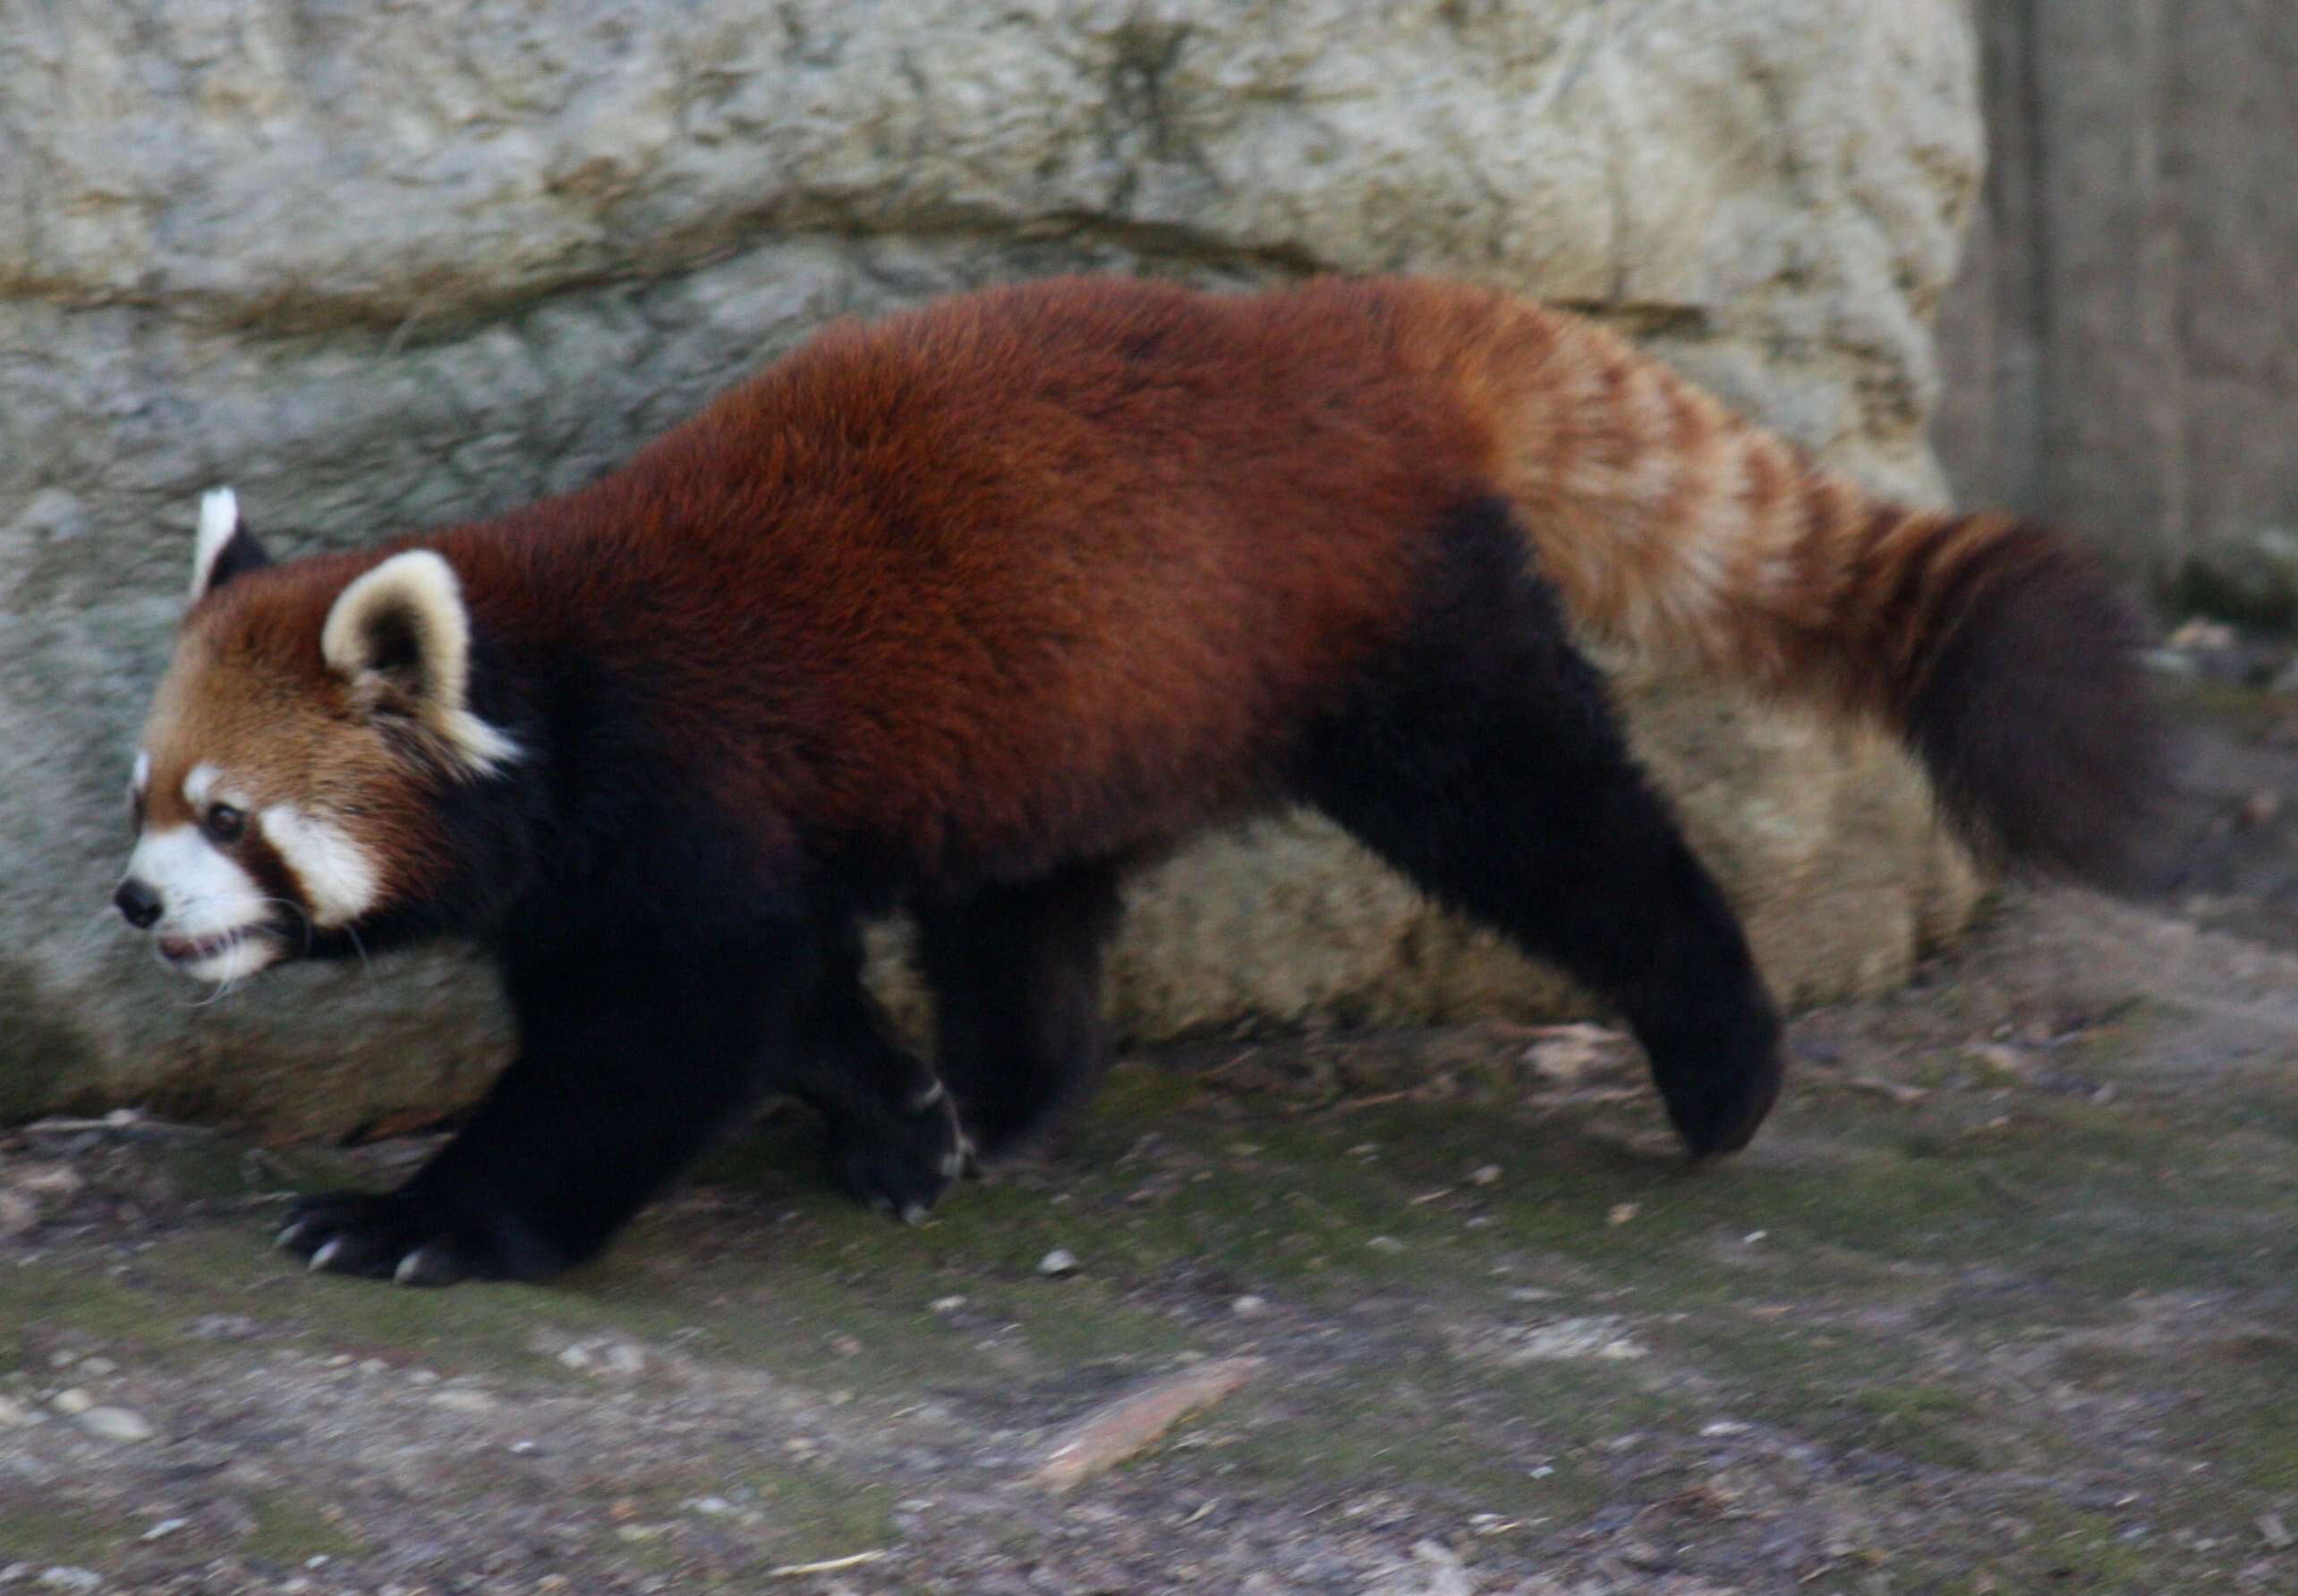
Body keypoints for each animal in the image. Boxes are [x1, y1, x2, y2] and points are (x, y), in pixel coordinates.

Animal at [112, 281, 2150, 1295]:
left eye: (229, 818)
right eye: (141, 797)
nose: (133, 901)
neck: (562, 688)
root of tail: (1349, 324)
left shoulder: (687, 812)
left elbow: (651, 1049)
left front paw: (423, 1221)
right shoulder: (643, 864)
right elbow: (799, 995)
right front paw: (900, 1120)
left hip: (1391, 641)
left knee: (1551, 818)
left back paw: (1720, 1051)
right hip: (1065, 708)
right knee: (1026, 904)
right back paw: (1013, 1095)